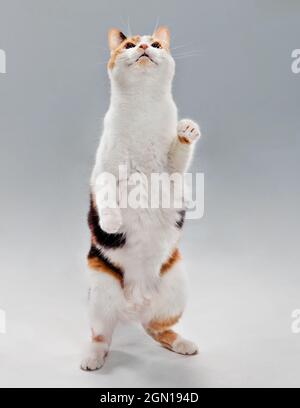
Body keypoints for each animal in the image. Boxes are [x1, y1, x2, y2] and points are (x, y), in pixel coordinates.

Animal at [81, 25, 200, 370]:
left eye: (157, 44)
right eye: (130, 45)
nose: (145, 47)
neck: (143, 110)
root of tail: (135, 302)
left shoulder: (172, 172)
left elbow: (179, 154)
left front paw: (187, 130)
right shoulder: (104, 169)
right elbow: (106, 189)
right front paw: (111, 221)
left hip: (177, 284)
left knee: (158, 328)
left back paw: (184, 344)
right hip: (99, 291)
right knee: (101, 335)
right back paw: (93, 357)